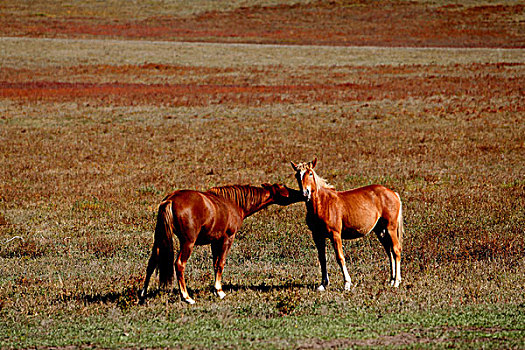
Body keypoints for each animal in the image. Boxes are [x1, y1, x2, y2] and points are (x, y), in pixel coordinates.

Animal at [139, 183, 302, 304]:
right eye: (284, 188)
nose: (302, 193)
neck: (233, 203)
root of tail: (170, 200)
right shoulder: (227, 238)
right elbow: (221, 263)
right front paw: (220, 291)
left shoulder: (215, 242)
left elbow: (215, 264)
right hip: (188, 242)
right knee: (179, 264)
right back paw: (187, 297)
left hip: (159, 239)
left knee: (151, 263)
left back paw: (143, 294)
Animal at [288, 159, 404, 290]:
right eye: (297, 175)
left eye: (310, 173)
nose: (304, 193)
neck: (322, 204)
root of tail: (393, 193)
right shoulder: (317, 236)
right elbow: (322, 259)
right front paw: (323, 284)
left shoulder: (335, 235)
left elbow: (340, 257)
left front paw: (347, 283)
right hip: (381, 231)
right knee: (389, 252)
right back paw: (391, 280)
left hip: (391, 228)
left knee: (396, 250)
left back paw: (396, 282)